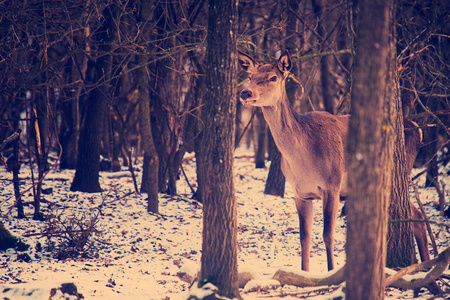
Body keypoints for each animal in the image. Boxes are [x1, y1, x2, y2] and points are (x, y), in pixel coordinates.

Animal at [237, 49, 430, 272]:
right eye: (251, 76)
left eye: (273, 77)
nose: (245, 93)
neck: (303, 159)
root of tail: (418, 129)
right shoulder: (300, 193)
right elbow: (304, 237)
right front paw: (304, 273)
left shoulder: (332, 185)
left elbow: (327, 235)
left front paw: (330, 271)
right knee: (417, 217)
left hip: (398, 173)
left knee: (417, 216)